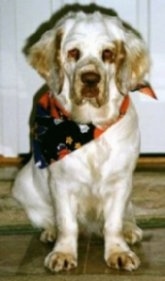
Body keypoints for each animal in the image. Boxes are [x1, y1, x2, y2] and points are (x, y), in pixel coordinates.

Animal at [12, 8, 152, 272]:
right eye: (73, 52)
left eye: (107, 53)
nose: (90, 79)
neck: (88, 127)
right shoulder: (62, 183)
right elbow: (67, 223)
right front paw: (63, 253)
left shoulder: (119, 182)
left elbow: (113, 223)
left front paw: (118, 252)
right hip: (24, 185)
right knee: (48, 218)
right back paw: (50, 231)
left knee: (127, 214)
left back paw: (130, 229)